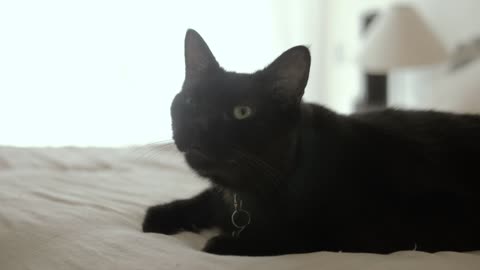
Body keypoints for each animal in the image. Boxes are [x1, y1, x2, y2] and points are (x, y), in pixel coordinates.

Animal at [142, 29, 480, 255]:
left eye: (242, 111)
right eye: (191, 101)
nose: (197, 126)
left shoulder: (375, 228)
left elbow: (300, 233)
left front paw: (227, 242)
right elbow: (207, 198)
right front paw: (163, 214)